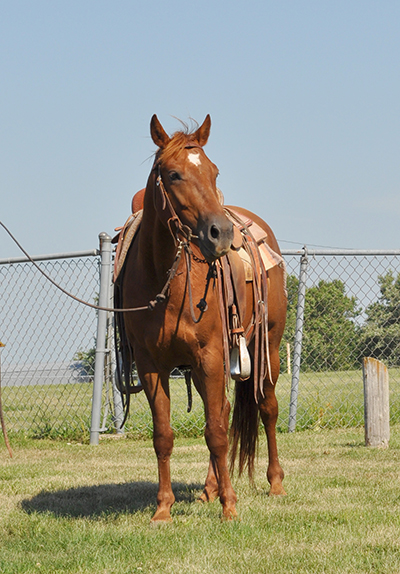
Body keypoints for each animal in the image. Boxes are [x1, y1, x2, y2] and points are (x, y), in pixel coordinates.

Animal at [115, 115, 288, 524]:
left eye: (214, 171)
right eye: (173, 173)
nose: (220, 233)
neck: (167, 281)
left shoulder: (210, 356)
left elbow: (217, 434)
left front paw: (230, 506)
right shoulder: (152, 366)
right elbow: (164, 434)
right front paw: (163, 508)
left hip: (268, 348)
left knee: (267, 409)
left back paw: (274, 482)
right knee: (223, 411)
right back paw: (210, 489)